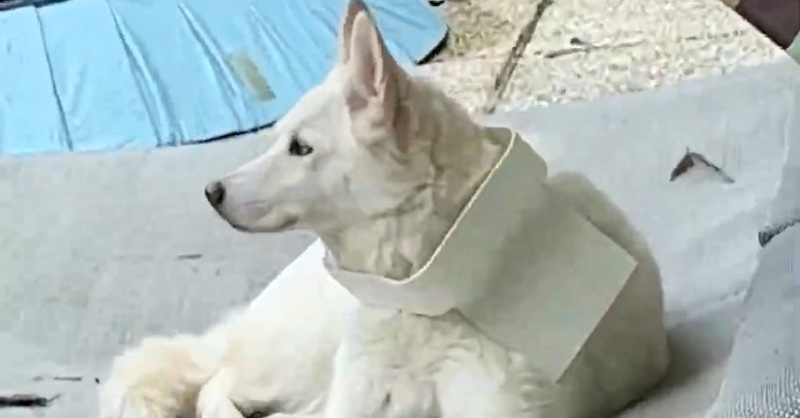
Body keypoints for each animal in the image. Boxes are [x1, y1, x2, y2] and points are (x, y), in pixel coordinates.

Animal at [98, 2, 669, 417]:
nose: (211, 191)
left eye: (300, 148)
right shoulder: (358, 392)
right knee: (219, 385)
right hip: (302, 353)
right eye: (279, 138)